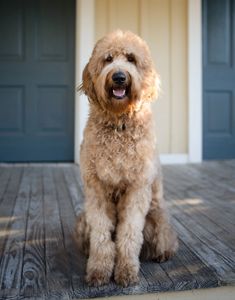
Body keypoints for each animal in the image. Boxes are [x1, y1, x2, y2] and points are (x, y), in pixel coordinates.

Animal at [76, 29, 177, 288]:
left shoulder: (137, 189)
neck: (118, 124)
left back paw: (162, 253)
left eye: (131, 59)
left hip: (157, 217)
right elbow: (101, 236)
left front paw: (126, 271)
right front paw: (98, 271)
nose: (120, 77)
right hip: (82, 220)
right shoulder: (96, 189)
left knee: (165, 240)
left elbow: (129, 234)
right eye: (108, 59)